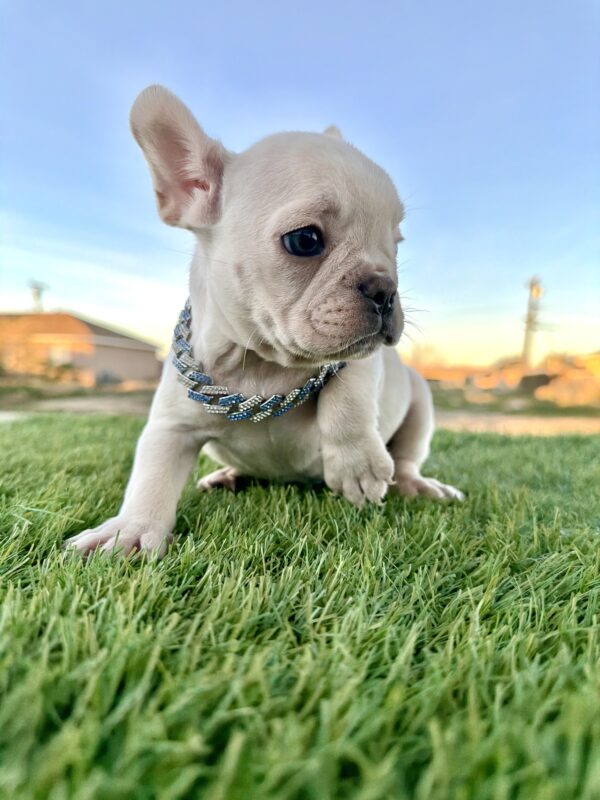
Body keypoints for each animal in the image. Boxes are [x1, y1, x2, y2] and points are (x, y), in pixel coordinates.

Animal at [66, 85, 463, 557]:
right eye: (305, 240)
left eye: (395, 244)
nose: (385, 289)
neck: (260, 362)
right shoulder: (171, 424)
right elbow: (152, 474)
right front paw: (130, 530)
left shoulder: (365, 358)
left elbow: (349, 385)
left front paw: (356, 463)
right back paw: (228, 476)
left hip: (420, 402)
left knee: (406, 460)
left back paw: (417, 484)